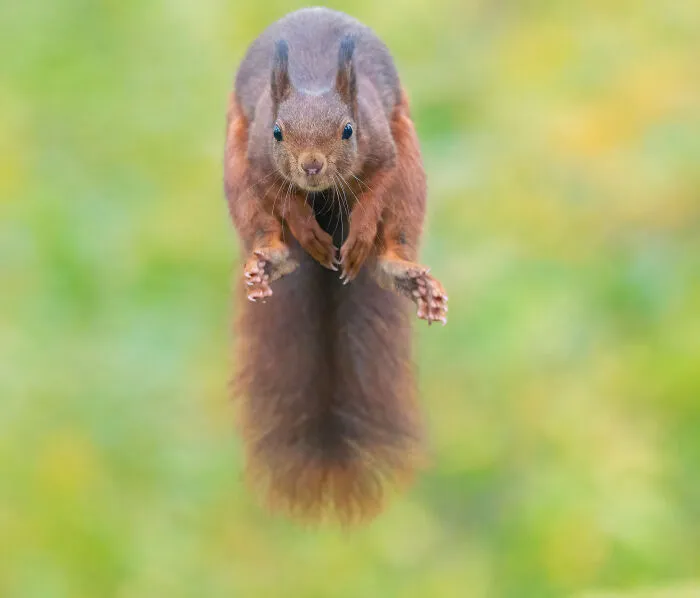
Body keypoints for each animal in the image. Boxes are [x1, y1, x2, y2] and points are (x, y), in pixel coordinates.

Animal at [224, 7, 448, 524]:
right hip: (234, 162)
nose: (311, 167)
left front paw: (362, 232)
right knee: (259, 219)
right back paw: (274, 257)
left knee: (397, 217)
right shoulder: (259, 158)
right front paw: (306, 230)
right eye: (278, 132)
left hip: (410, 158)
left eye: (348, 130)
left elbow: (380, 183)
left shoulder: (383, 146)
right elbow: (279, 197)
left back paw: (398, 268)